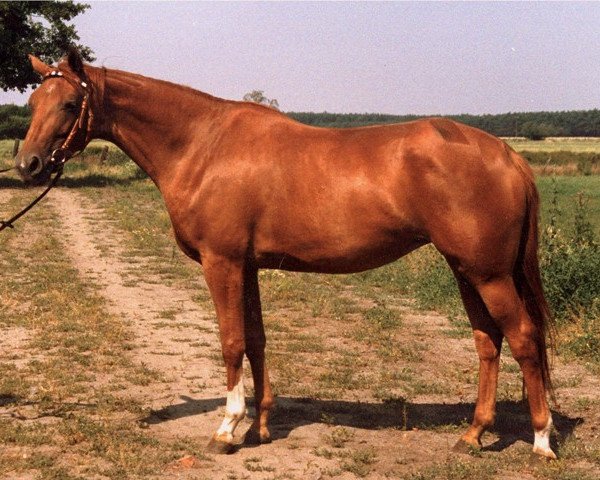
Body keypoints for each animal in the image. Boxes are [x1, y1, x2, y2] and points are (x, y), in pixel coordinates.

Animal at [15, 50, 556, 460]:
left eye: (69, 103)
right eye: (34, 99)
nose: (27, 164)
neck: (203, 145)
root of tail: (507, 155)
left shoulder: (222, 263)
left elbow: (231, 342)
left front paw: (227, 429)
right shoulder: (248, 266)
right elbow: (256, 340)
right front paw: (260, 427)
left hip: (489, 274)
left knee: (523, 339)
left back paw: (541, 441)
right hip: (467, 270)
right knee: (488, 342)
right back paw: (472, 435)